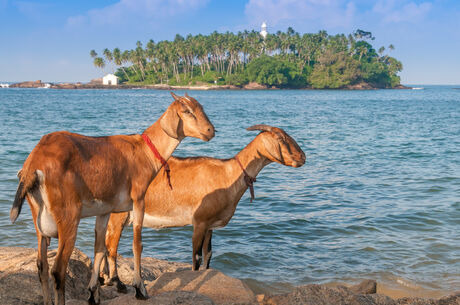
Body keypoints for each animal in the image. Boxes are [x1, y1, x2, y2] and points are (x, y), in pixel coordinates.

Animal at [9, 92, 214, 304]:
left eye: (200, 107)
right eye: (186, 111)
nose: (210, 131)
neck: (143, 151)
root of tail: (34, 164)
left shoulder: (104, 210)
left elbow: (100, 248)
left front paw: (94, 293)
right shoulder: (138, 200)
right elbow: (137, 244)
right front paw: (140, 289)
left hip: (39, 221)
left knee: (41, 266)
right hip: (68, 218)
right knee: (58, 270)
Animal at [101, 124, 306, 290]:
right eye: (281, 139)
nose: (302, 158)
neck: (228, 174)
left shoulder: (210, 225)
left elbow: (208, 255)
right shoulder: (199, 222)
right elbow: (197, 257)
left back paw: (104, 280)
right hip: (118, 215)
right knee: (111, 247)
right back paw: (116, 283)